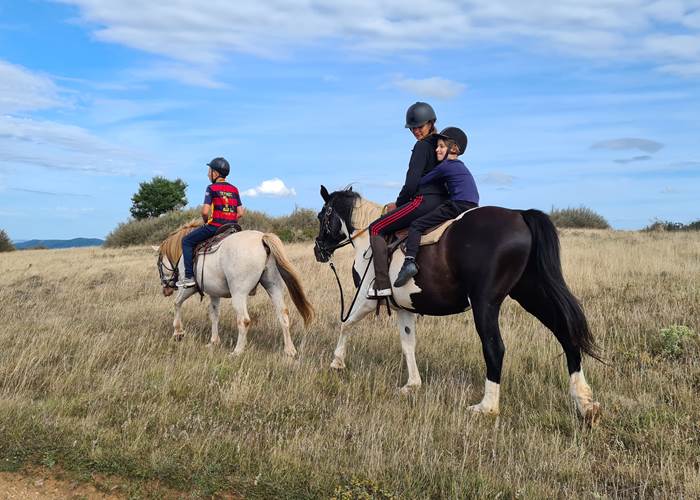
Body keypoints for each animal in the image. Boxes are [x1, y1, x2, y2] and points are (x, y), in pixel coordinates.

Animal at [156, 222, 314, 356]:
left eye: (159, 263)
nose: (165, 289)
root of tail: (261, 238)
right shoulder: (214, 293)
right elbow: (214, 314)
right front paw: (214, 341)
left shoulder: (189, 288)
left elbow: (177, 303)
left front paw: (178, 332)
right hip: (273, 286)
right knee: (283, 315)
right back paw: (290, 350)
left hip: (239, 293)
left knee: (244, 320)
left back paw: (237, 351)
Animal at [313, 186, 601, 423]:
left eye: (321, 216)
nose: (318, 250)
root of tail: (519, 215)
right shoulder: (405, 307)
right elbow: (408, 344)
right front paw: (412, 385)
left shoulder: (366, 298)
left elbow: (346, 324)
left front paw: (337, 362)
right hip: (532, 294)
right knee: (566, 334)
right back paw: (585, 403)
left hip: (485, 304)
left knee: (495, 348)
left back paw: (486, 407)